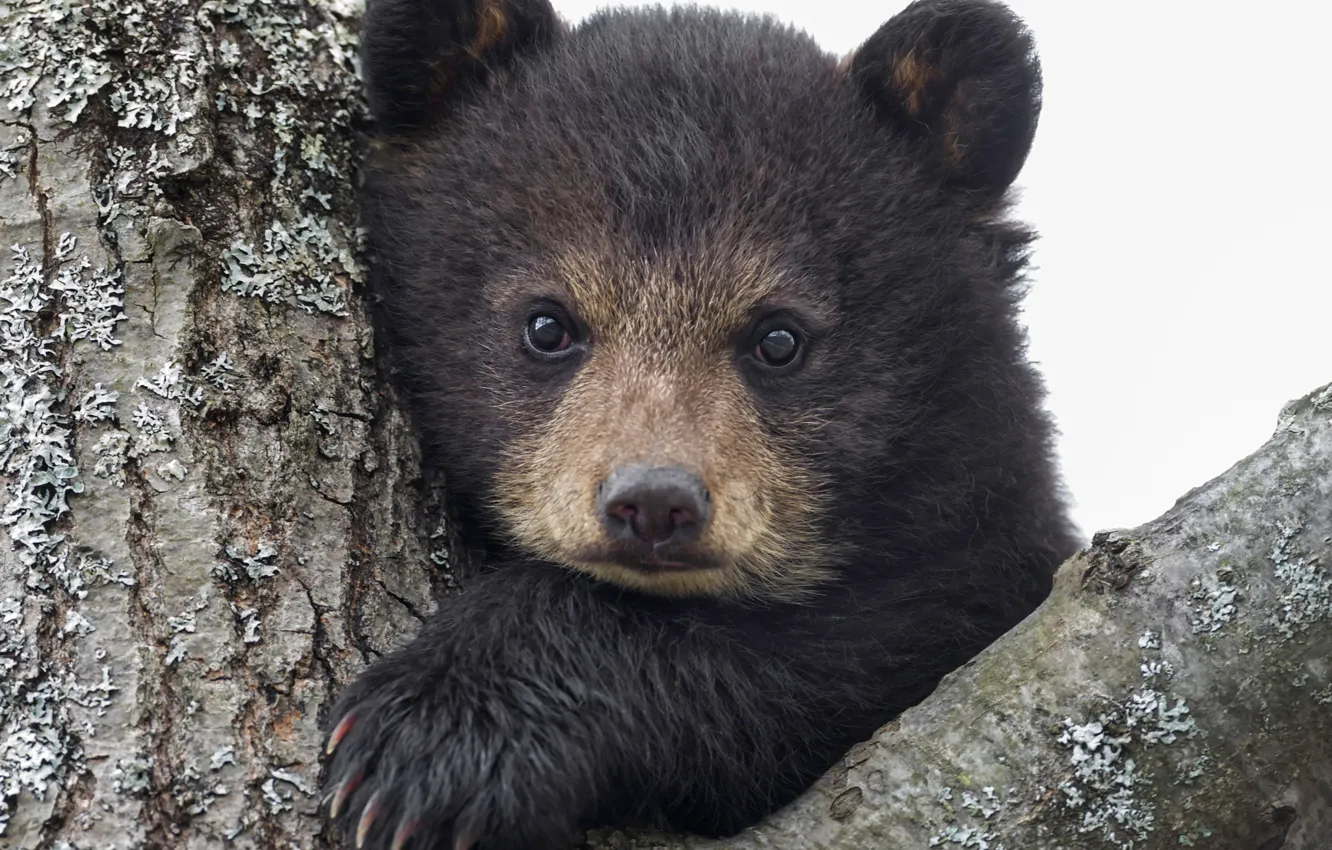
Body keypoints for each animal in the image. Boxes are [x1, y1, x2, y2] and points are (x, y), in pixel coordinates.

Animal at [322, 0, 1083, 848]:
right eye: (547, 324)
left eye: (779, 338)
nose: (654, 502)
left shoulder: (985, 556)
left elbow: (853, 652)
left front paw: (432, 737)